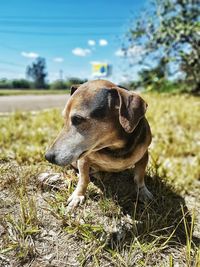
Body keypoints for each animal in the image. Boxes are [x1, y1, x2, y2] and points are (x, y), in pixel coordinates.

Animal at [44, 79, 152, 209]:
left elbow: (139, 176)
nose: (48, 157)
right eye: (64, 119)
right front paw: (78, 195)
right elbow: (84, 179)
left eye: (78, 119)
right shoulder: (84, 159)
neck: (114, 146)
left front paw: (143, 191)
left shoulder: (144, 155)